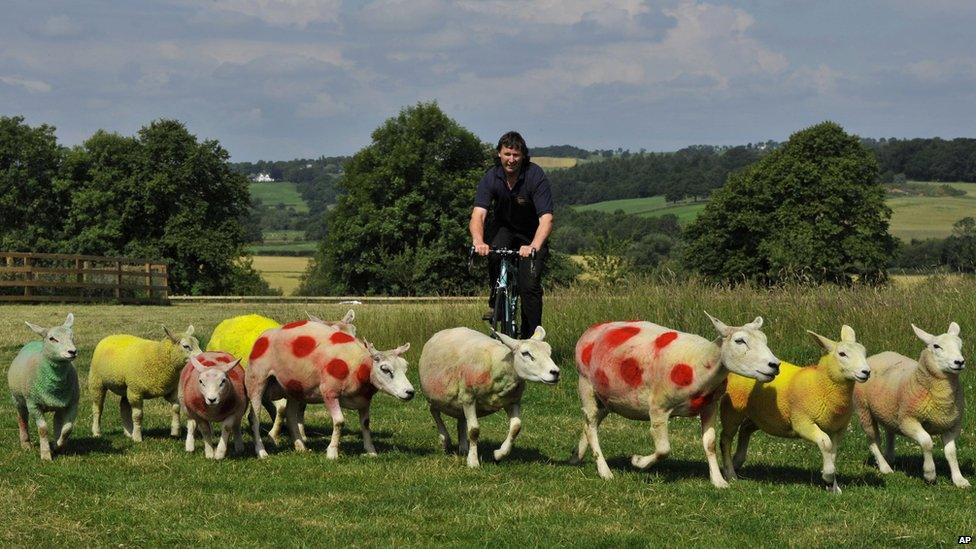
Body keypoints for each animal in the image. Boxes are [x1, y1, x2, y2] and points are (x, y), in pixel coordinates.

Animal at [246, 318, 414, 456]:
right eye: (385, 369)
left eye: (405, 367)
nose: (410, 392)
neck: (358, 366)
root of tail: (264, 335)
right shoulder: (329, 392)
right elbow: (339, 421)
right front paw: (332, 452)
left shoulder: (364, 399)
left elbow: (366, 424)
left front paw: (371, 451)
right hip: (256, 380)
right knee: (254, 418)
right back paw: (262, 452)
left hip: (293, 387)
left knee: (291, 415)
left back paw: (301, 447)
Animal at [418, 326, 560, 466]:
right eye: (526, 353)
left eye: (549, 352)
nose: (555, 372)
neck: (498, 364)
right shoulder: (469, 397)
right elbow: (474, 430)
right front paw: (473, 462)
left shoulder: (512, 400)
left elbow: (516, 427)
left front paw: (498, 454)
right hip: (436, 396)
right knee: (434, 412)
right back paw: (445, 440)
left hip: (460, 400)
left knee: (461, 420)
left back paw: (463, 448)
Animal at [568, 312, 780, 488]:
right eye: (739, 341)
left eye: (765, 340)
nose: (775, 365)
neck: (701, 363)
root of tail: (592, 329)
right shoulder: (658, 407)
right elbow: (664, 449)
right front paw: (638, 462)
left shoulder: (709, 405)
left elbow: (709, 443)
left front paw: (719, 481)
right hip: (585, 383)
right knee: (591, 425)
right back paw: (604, 471)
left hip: (608, 397)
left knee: (589, 423)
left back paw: (576, 457)